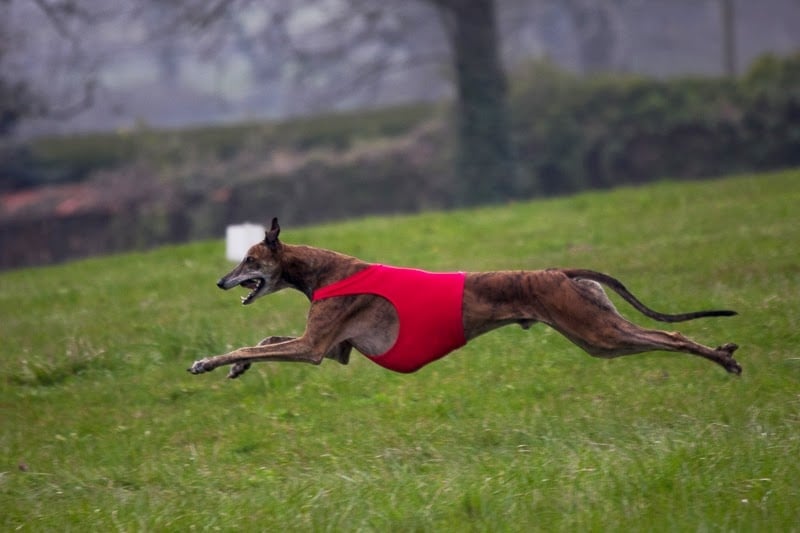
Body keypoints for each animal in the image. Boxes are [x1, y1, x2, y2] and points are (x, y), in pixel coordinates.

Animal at [188, 218, 741, 379]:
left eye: (248, 260)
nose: (218, 282)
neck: (322, 269)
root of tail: (560, 271)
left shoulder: (313, 347)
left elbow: (253, 343)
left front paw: (209, 362)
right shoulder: (335, 348)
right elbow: (264, 340)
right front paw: (238, 368)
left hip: (597, 330)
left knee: (672, 334)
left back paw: (724, 357)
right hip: (595, 330)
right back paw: (724, 354)